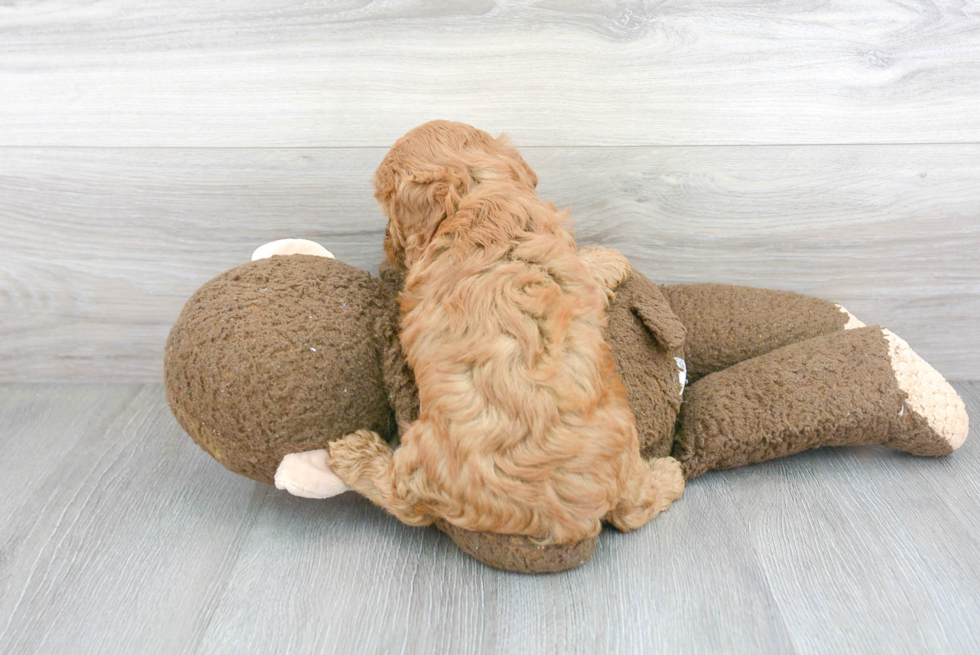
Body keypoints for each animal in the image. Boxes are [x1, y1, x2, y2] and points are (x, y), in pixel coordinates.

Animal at [330, 121, 680, 544]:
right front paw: (611, 258)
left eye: (386, 205)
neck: (475, 193)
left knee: (404, 501)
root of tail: (565, 518)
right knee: (633, 509)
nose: (385, 245)